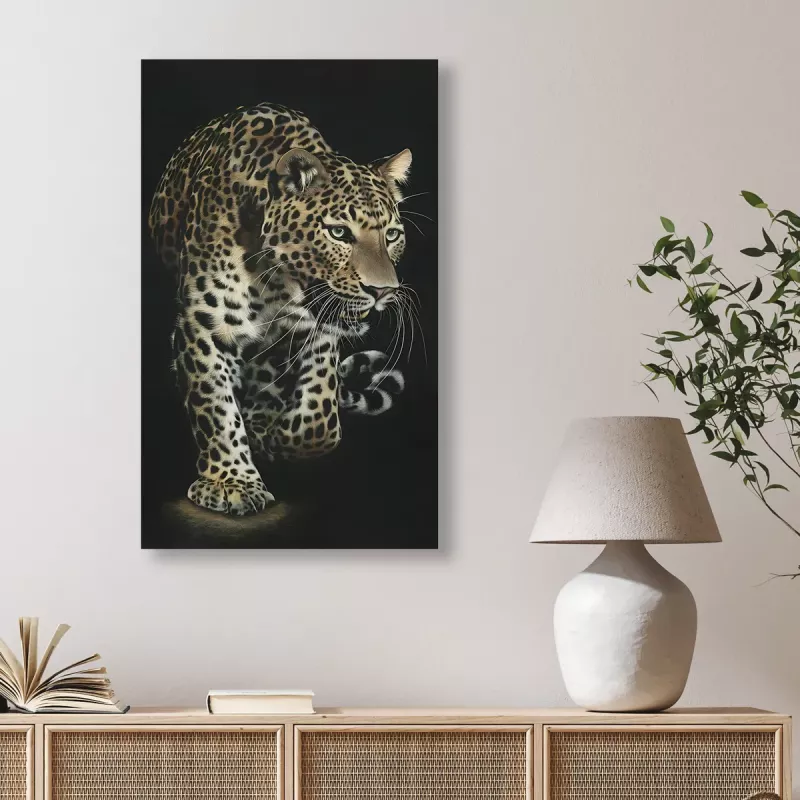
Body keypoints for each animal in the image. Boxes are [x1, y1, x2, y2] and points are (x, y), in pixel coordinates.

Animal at [148, 102, 416, 516]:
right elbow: (215, 406)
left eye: (392, 235)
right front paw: (231, 482)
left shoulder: (320, 332)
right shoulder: (203, 326)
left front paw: (275, 435)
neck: (274, 281)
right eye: (339, 232)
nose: (382, 290)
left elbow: (321, 415)